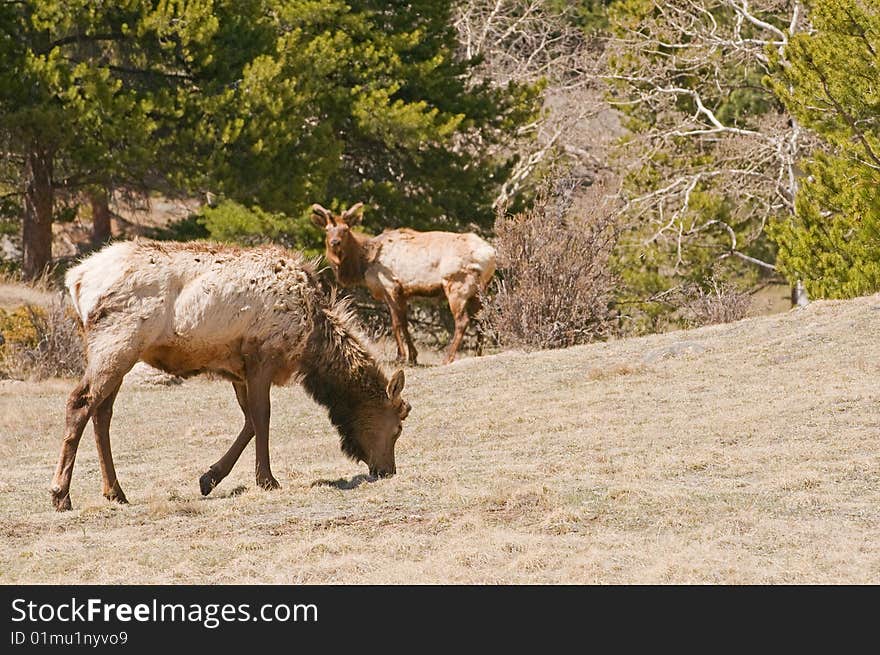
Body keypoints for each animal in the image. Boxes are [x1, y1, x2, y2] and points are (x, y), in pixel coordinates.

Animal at [52, 240, 412, 512]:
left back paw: (115, 492)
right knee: (80, 403)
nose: (387, 471)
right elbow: (263, 418)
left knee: (102, 412)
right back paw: (61, 494)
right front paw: (267, 480)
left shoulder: (237, 369)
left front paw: (209, 478)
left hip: (118, 352)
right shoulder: (262, 356)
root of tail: (76, 279)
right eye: (397, 428)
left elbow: (249, 421)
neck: (312, 342)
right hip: (118, 343)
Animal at [312, 202, 498, 366]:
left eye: (345, 229)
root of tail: (491, 254)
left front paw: (400, 356)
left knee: (462, 321)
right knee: (481, 319)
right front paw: (413, 356)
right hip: (479, 289)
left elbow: (396, 323)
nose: (334, 243)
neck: (363, 263)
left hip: (457, 285)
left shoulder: (390, 286)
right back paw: (478, 354)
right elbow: (405, 322)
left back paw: (448, 358)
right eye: (327, 230)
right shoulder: (403, 291)